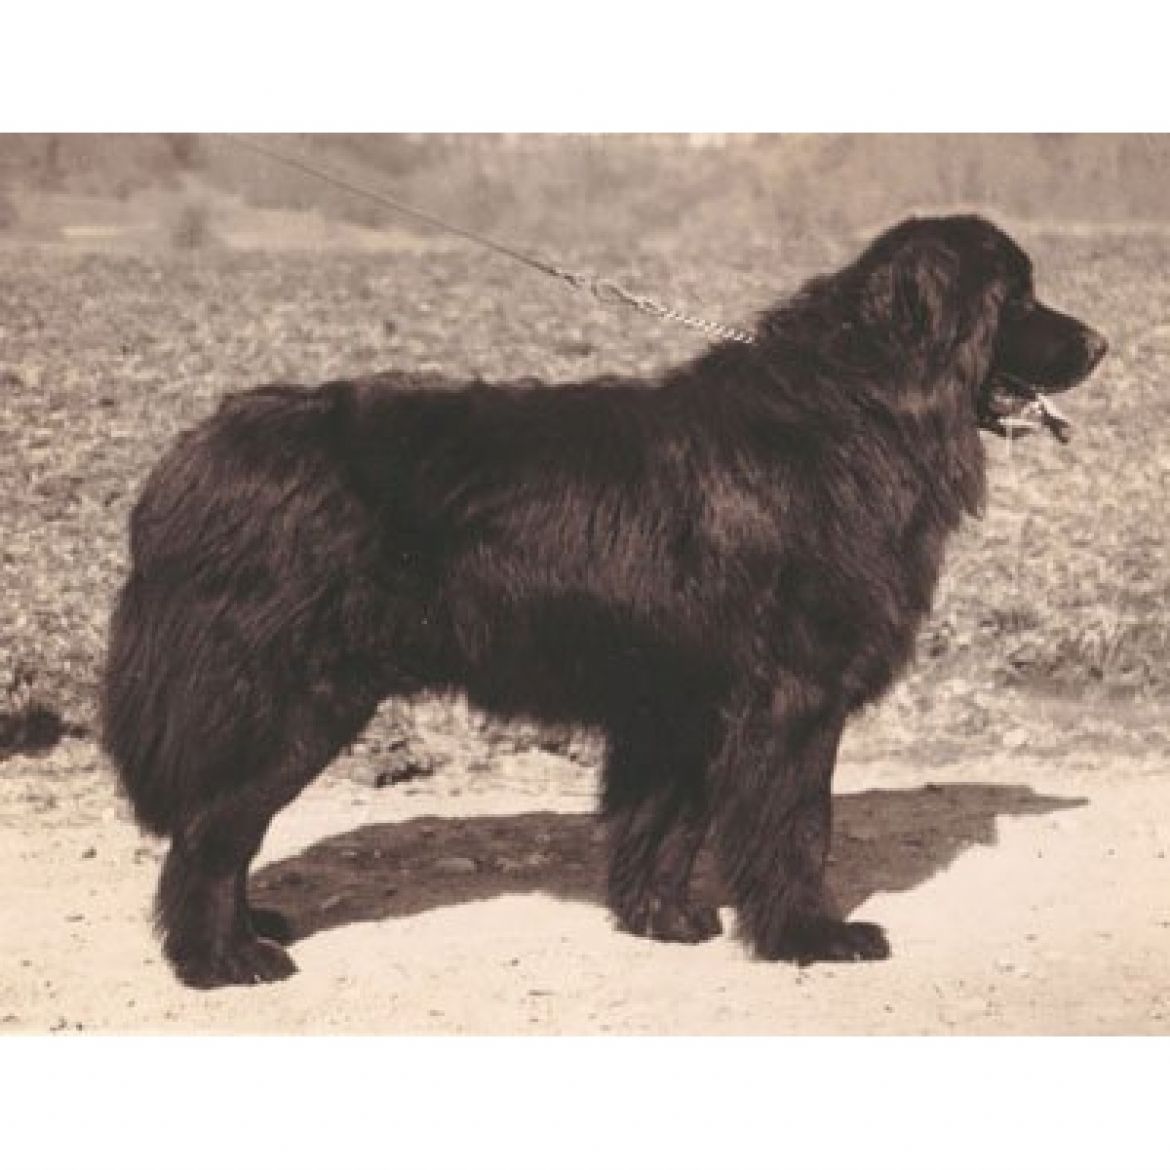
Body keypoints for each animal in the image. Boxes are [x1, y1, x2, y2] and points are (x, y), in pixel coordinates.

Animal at [102, 214, 1107, 988]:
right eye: (1016, 299)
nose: (1103, 345)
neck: (863, 407)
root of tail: (192, 457)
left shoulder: (683, 700)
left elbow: (664, 821)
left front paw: (663, 917)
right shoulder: (792, 697)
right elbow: (796, 825)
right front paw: (809, 937)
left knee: (222, 828)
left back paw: (251, 929)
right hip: (293, 696)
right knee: (211, 829)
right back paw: (222, 959)